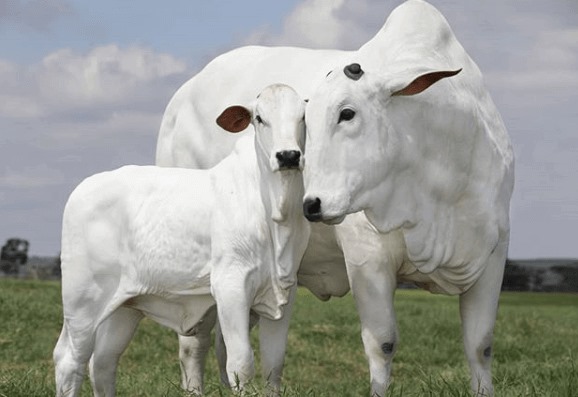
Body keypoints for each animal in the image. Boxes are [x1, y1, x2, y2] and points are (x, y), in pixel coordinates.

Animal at [53, 84, 310, 396]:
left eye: (303, 116)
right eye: (259, 118)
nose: (288, 156)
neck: (276, 211)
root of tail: (83, 187)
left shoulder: (284, 292)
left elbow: (273, 368)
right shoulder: (231, 286)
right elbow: (241, 365)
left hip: (124, 306)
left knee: (102, 363)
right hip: (83, 300)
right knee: (70, 359)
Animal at [302, 0, 512, 392]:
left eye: (347, 113)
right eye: (304, 120)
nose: (311, 205)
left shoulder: (494, 251)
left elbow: (481, 344)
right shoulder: (367, 257)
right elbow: (382, 343)